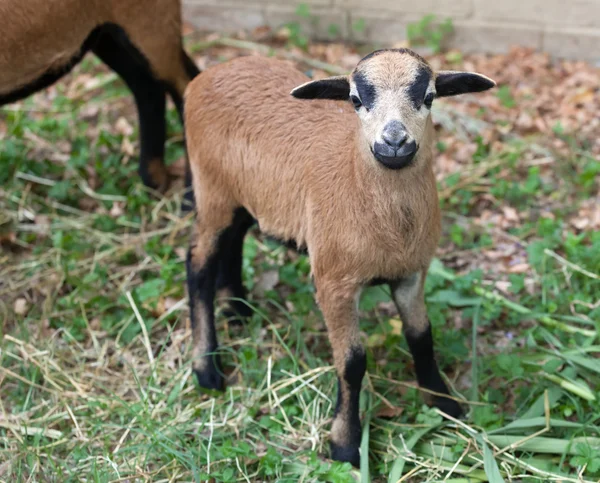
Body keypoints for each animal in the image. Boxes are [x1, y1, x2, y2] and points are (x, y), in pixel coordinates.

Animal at [0, 0, 202, 197]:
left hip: (149, 22)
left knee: (184, 83)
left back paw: (187, 199)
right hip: (105, 34)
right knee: (147, 87)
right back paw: (152, 182)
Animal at [185, 48, 494, 466]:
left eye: (428, 97)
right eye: (355, 100)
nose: (394, 142)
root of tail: (209, 74)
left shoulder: (412, 272)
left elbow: (421, 336)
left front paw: (445, 404)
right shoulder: (334, 282)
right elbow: (351, 361)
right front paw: (345, 443)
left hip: (243, 193)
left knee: (234, 240)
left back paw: (237, 309)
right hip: (211, 189)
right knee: (198, 265)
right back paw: (207, 368)